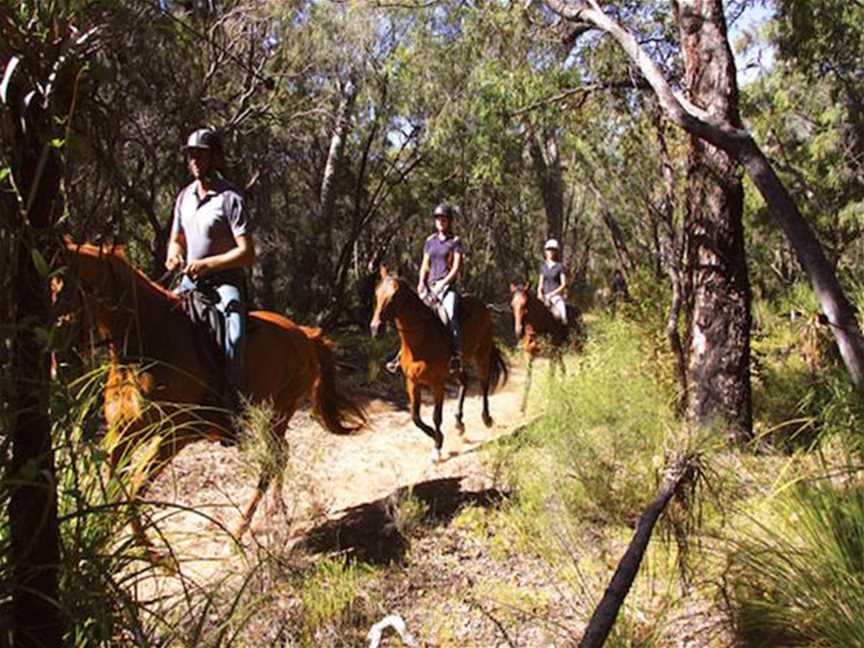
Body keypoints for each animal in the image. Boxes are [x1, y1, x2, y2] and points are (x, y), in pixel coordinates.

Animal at [59, 240, 364, 556]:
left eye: (64, 287)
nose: (60, 359)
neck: (148, 345)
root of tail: (304, 334)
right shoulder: (123, 431)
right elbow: (113, 481)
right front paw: (103, 538)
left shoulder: (173, 436)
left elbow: (136, 485)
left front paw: (148, 550)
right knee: (281, 455)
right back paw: (275, 510)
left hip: (278, 411)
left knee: (272, 460)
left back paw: (239, 531)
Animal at [370, 266, 506, 458]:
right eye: (377, 292)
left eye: (395, 295)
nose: (375, 329)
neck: (419, 341)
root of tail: (484, 306)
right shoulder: (412, 382)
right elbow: (415, 417)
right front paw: (437, 437)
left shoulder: (437, 383)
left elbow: (436, 416)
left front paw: (437, 446)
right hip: (457, 366)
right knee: (465, 381)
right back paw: (459, 423)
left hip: (482, 354)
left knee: (484, 383)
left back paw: (486, 418)